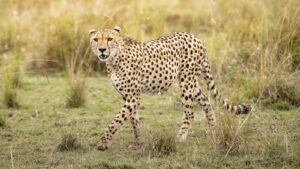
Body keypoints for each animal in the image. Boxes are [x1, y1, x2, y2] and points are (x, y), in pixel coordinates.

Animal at [89, 26, 251, 151]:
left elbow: (116, 120)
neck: (114, 59)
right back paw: (212, 130)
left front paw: (103, 142)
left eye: (110, 39)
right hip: (191, 82)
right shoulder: (128, 96)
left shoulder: (133, 96)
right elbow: (132, 119)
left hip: (186, 81)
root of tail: (194, 36)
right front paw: (138, 142)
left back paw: (180, 137)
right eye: (96, 39)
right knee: (205, 100)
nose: (102, 49)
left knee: (190, 113)